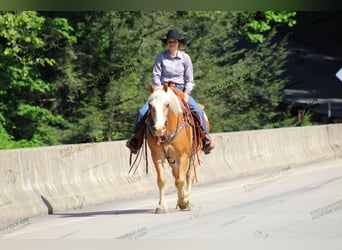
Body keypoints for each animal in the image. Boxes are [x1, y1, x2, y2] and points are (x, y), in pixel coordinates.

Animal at [145, 84, 206, 213]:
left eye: (167, 104)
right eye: (150, 105)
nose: (159, 129)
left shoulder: (183, 155)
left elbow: (180, 180)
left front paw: (184, 202)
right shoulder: (157, 155)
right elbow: (162, 180)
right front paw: (162, 206)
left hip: (195, 153)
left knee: (189, 175)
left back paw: (185, 199)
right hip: (172, 159)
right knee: (177, 174)